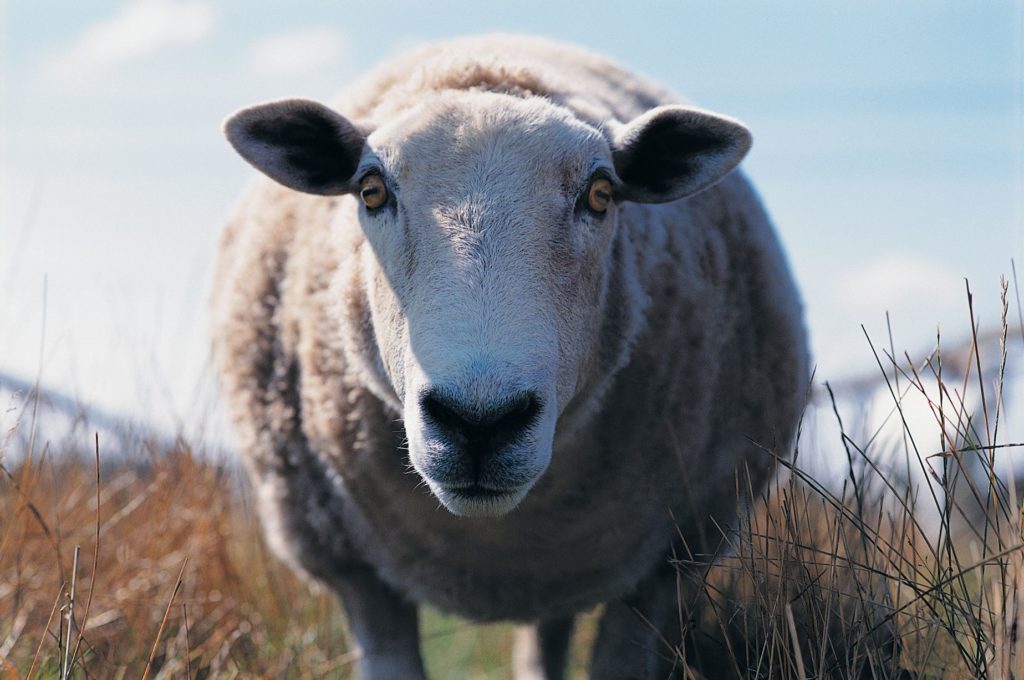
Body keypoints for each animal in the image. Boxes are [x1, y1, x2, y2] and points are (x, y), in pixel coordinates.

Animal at [211, 34, 809, 680]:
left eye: (601, 193)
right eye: (371, 190)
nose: (480, 422)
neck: (491, 539)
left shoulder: (662, 566)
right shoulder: (357, 574)